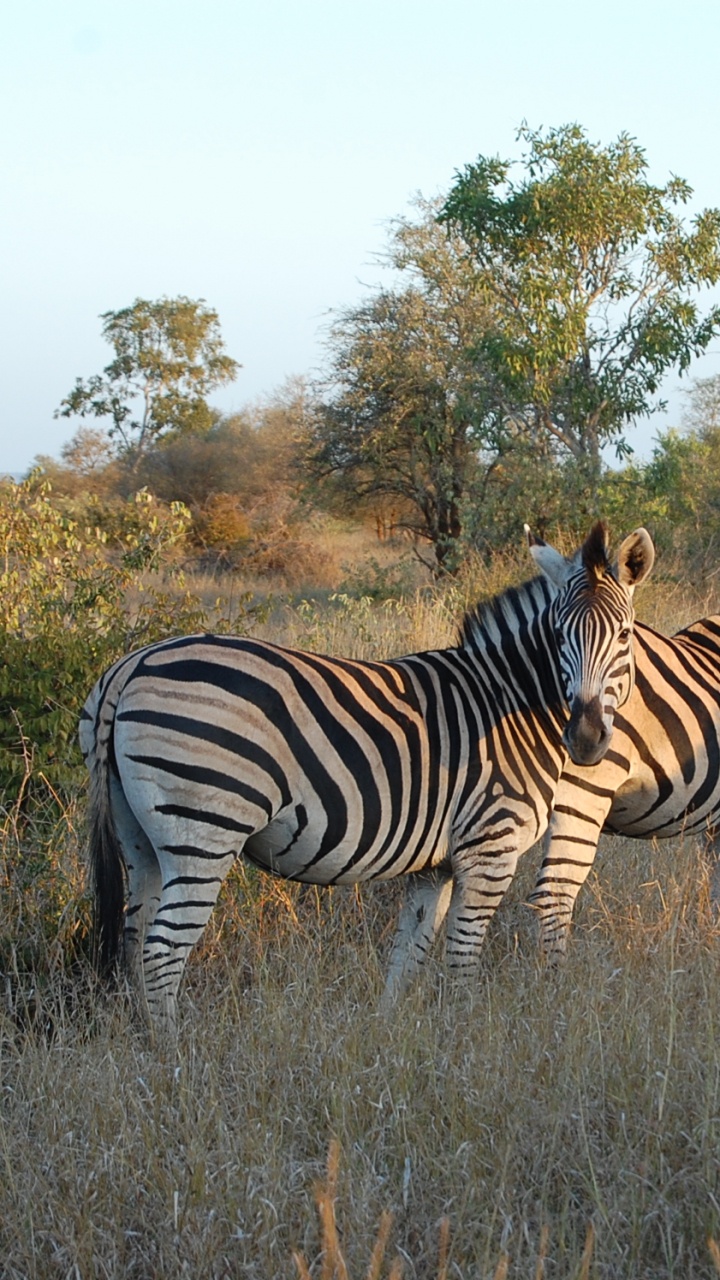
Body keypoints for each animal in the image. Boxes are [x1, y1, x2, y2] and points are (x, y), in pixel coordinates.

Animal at [79, 521, 653, 1032]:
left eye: (623, 635)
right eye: (558, 635)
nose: (585, 739)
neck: (509, 701)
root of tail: (131, 665)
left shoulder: (436, 865)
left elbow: (408, 956)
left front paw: (392, 1036)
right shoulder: (490, 847)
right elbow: (462, 959)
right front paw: (467, 1036)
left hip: (140, 838)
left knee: (134, 938)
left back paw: (141, 1043)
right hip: (203, 829)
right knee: (160, 953)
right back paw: (172, 1056)